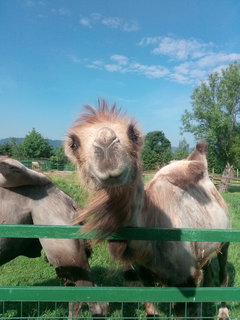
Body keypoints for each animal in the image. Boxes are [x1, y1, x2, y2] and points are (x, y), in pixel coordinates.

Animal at [64, 100, 232, 320]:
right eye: (74, 143)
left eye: (134, 134)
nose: (106, 145)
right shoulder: (144, 273)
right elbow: (151, 308)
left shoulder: (186, 276)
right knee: (209, 274)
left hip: (226, 237)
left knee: (223, 273)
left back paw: (223, 311)